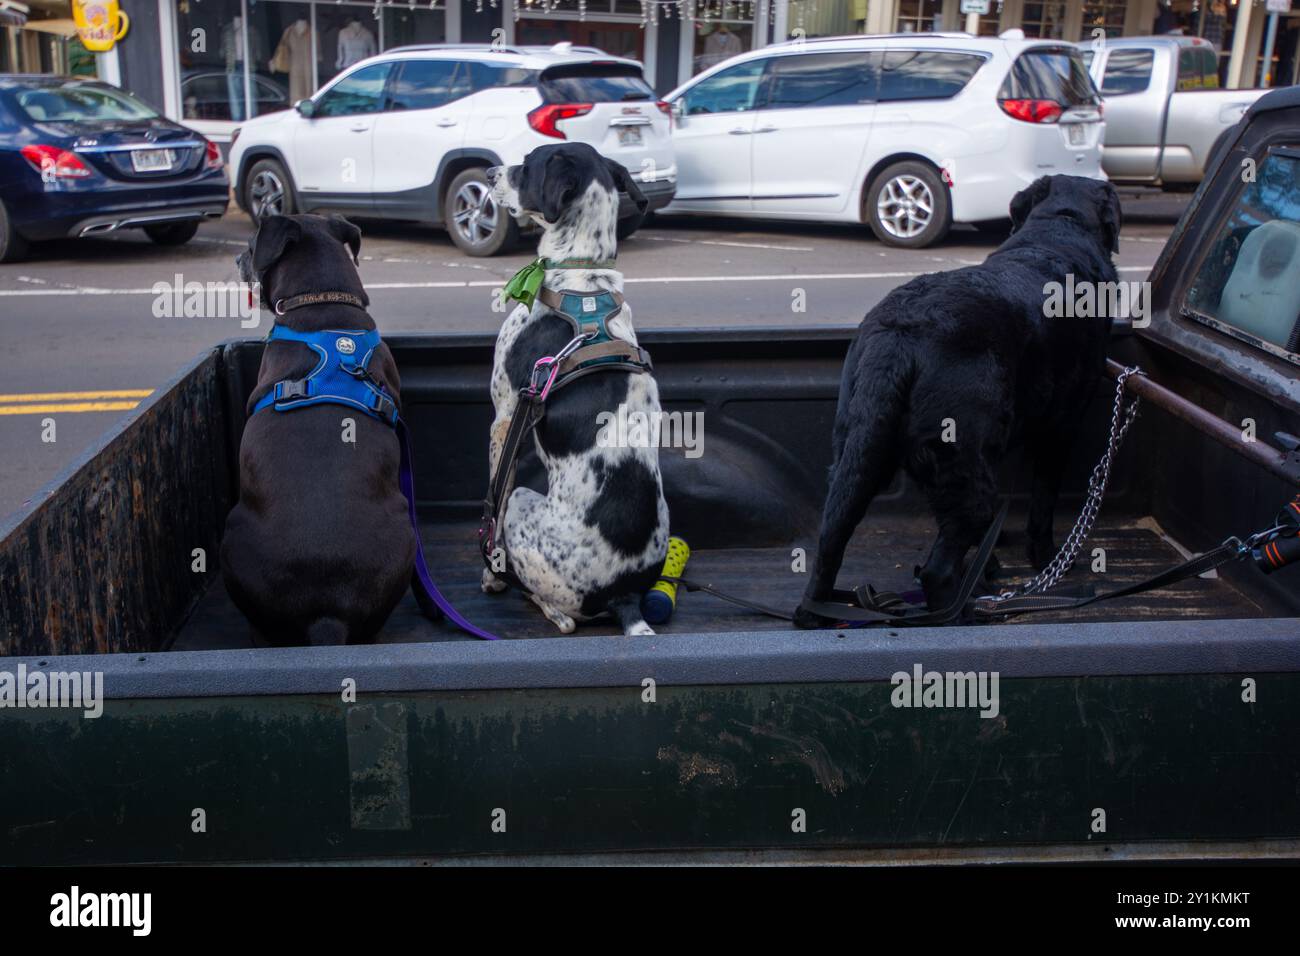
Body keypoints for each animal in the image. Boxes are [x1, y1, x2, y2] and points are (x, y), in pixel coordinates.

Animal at [486, 141, 670, 634]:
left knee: (563, 618)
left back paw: (533, 598)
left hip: (524, 505)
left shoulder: (505, 418)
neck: (582, 279)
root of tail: (623, 598)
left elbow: (492, 503)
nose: (489, 173)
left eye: (527, 163)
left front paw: (490, 576)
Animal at [795, 178, 1123, 629]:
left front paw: (988, 568)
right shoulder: (1060, 425)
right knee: (937, 570)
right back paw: (961, 614)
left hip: (858, 455)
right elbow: (1043, 501)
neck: (1059, 228)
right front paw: (1044, 558)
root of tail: (899, 337)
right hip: (965, 469)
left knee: (830, 543)